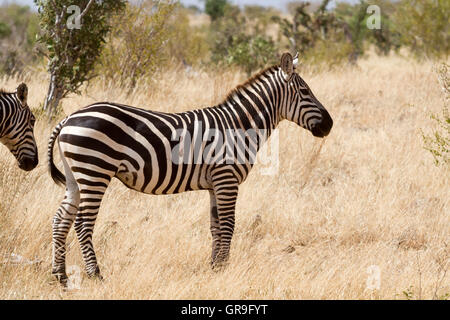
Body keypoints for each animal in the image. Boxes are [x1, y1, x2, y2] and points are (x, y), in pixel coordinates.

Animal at [47, 53, 332, 284]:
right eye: (305, 91)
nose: (329, 125)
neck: (240, 126)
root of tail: (69, 117)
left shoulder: (216, 184)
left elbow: (216, 226)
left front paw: (215, 267)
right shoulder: (227, 178)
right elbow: (229, 224)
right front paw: (224, 269)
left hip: (75, 177)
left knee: (61, 219)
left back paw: (61, 276)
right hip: (94, 171)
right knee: (83, 223)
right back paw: (95, 274)